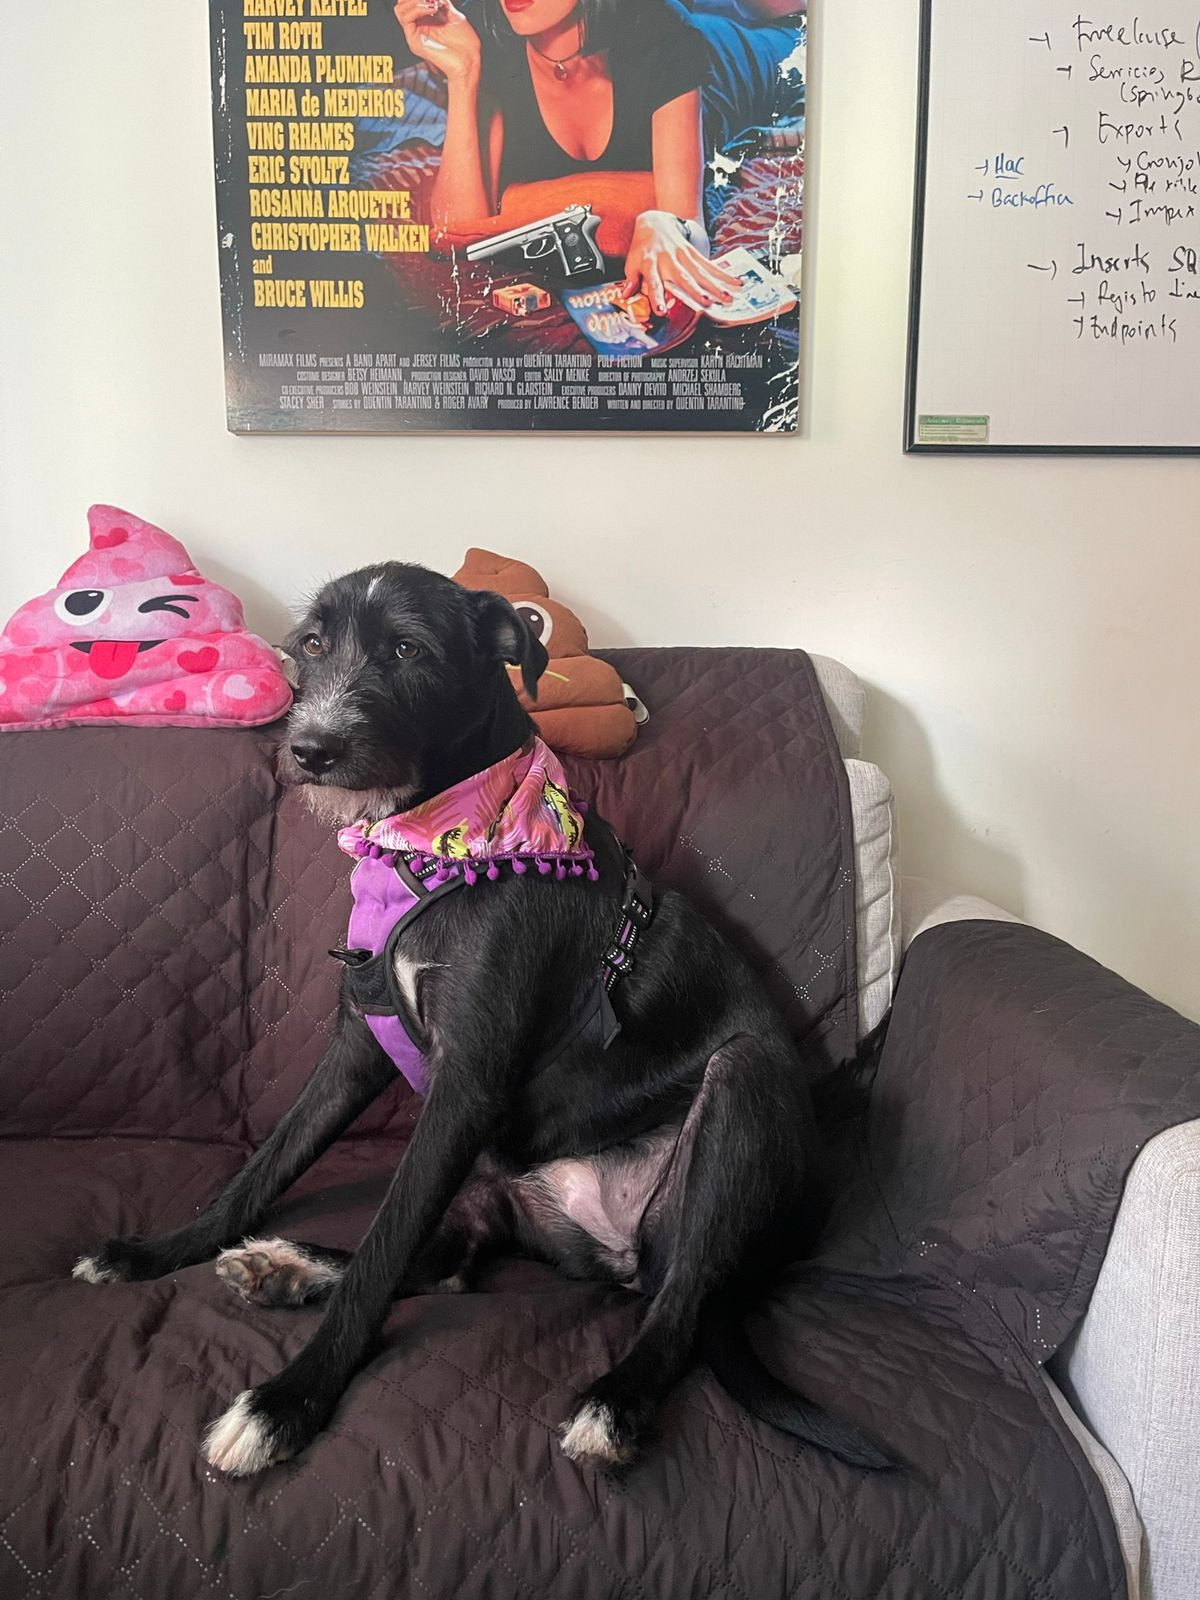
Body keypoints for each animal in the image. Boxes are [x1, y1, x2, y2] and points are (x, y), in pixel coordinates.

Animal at [73, 561, 888, 1477]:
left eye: (407, 651)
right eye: (312, 644)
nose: (309, 750)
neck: (432, 845)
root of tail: (617, 1250)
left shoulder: (465, 1086)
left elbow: (385, 1242)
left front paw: (289, 1402)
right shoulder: (360, 1047)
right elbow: (271, 1167)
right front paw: (164, 1250)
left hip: (734, 1102)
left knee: (673, 1302)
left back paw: (615, 1403)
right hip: (493, 1181)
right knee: (446, 1262)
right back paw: (287, 1265)